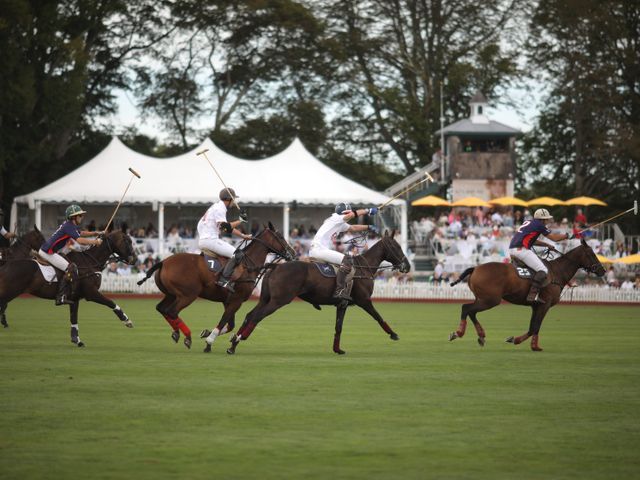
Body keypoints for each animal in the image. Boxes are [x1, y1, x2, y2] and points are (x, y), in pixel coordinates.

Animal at [0, 230, 136, 344]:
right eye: (127, 241)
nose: (134, 259)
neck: (90, 262)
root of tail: (5, 265)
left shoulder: (74, 298)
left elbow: (73, 318)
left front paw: (77, 340)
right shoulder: (91, 293)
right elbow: (111, 302)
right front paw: (126, 320)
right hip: (9, 292)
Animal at [137, 223, 296, 350]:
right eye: (280, 237)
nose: (293, 253)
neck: (248, 265)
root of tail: (163, 262)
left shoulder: (228, 301)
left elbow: (230, 324)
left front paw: (207, 333)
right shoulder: (236, 301)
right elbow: (224, 320)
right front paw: (209, 342)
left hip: (171, 294)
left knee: (161, 308)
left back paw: (176, 333)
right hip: (188, 295)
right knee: (172, 311)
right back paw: (187, 337)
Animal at [228, 232, 412, 356]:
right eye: (397, 247)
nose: (407, 266)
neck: (364, 268)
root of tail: (274, 266)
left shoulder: (342, 304)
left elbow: (339, 327)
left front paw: (337, 349)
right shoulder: (364, 300)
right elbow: (378, 316)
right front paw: (393, 334)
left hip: (266, 299)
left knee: (250, 314)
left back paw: (234, 341)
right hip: (279, 301)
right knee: (257, 317)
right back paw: (236, 341)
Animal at [444, 238, 604, 350]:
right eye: (592, 254)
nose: (602, 270)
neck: (557, 272)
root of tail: (475, 268)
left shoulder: (535, 306)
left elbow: (532, 326)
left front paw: (515, 340)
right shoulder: (544, 305)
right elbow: (535, 326)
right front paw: (532, 346)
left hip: (482, 298)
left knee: (471, 311)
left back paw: (481, 336)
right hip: (490, 300)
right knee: (466, 308)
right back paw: (458, 333)